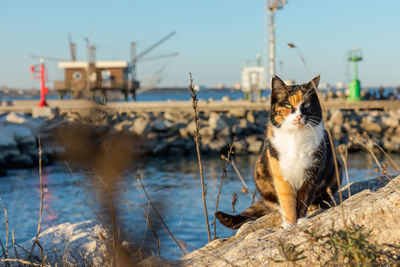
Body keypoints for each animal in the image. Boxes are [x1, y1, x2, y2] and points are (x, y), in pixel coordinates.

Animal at [217, 75, 342, 230]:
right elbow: (286, 198)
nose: (299, 116)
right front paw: (289, 224)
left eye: (306, 105)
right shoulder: (280, 171)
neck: (295, 137)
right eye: (287, 105)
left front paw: (301, 220)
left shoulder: (311, 172)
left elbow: (304, 197)